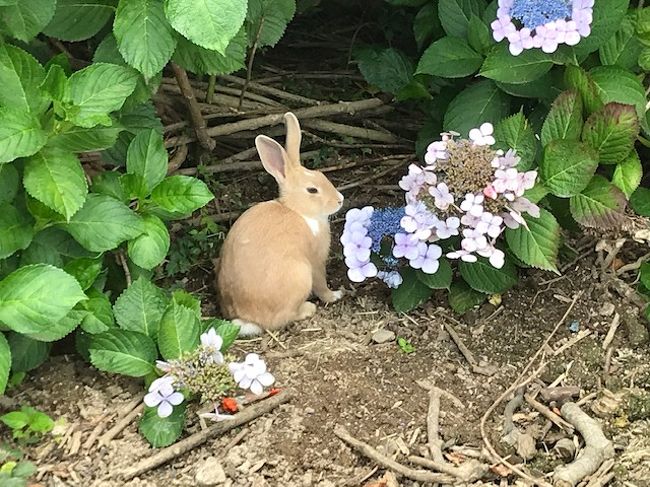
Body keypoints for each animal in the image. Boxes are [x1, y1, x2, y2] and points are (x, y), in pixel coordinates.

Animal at [215, 112, 344, 338]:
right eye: (312, 190)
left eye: (322, 175)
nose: (340, 200)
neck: (297, 210)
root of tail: (249, 319)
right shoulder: (316, 262)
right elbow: (322, 284)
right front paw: (335, 295)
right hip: (301, 275)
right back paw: (308, 309)